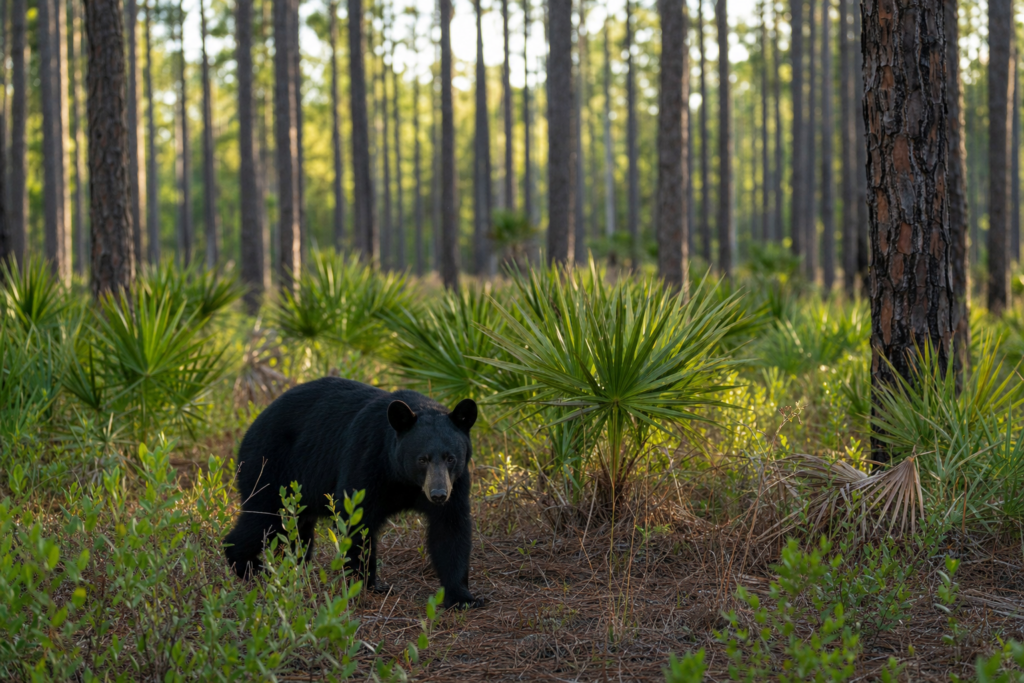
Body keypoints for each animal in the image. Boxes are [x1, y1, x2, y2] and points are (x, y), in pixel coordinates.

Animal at [223, 377, 483, 608]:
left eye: (451, 458)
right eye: (422, 459)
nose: (438, 494)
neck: (404, 479)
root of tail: (251, 427)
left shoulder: (456, 483)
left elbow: (450, 529)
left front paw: (462, 597)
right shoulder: (368, 458)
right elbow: (356, 520)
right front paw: (365, 584)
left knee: (297, 531)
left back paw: (293, 567)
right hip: (270, 467)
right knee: (264, 519)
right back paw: (251, 567)